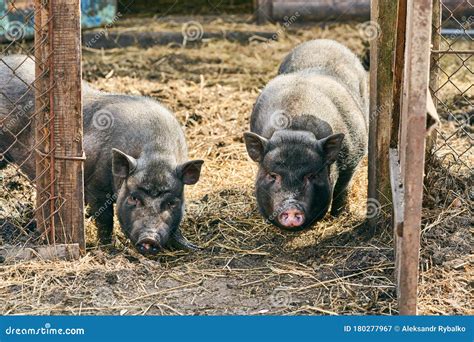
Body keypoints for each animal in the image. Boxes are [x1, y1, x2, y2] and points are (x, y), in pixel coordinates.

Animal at [244, 40, 370, 231]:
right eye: (273, 175)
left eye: (311, 175)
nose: (291, 208)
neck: (295, 128)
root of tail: (323, 41)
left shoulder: (355, 156)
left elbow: (342, 188)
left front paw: (339, 215)